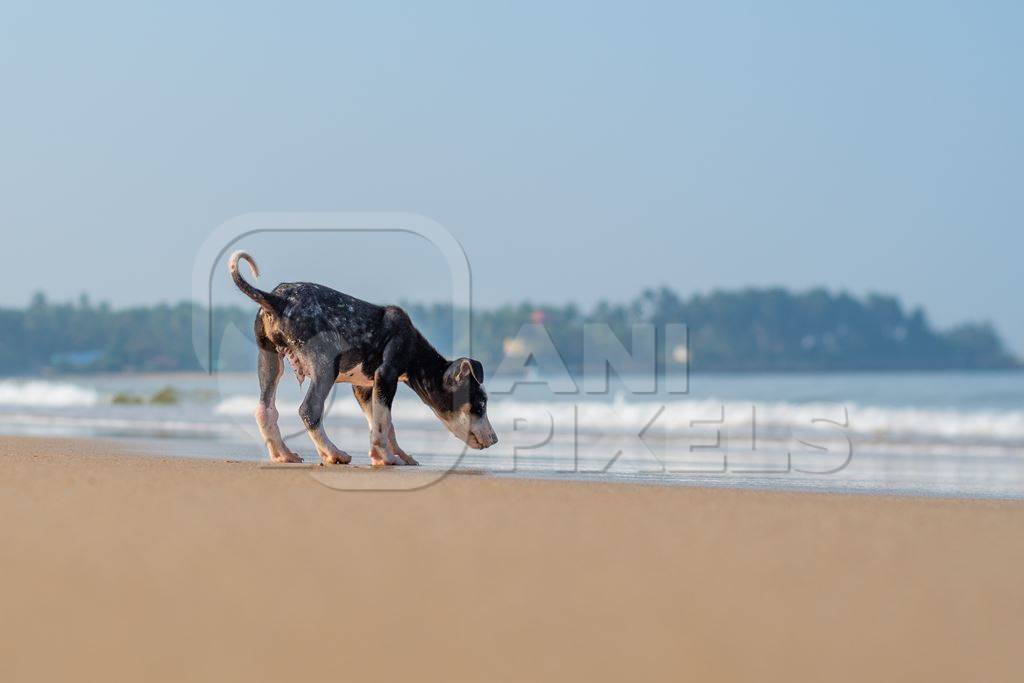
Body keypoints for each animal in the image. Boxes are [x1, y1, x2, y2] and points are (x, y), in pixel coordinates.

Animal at [227, 253, 495, 466]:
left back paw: (283, 454)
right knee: (309, 410)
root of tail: (278, 299)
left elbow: (383, 423)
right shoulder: (387, 374)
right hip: (326, 365)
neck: (413, 349)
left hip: (269, 359)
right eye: (480, 404)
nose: (495, 439)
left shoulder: (364, 388)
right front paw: (384, 457)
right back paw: (333, 453)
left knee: (265, 411)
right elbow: (382, 422)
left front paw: (398, 455)